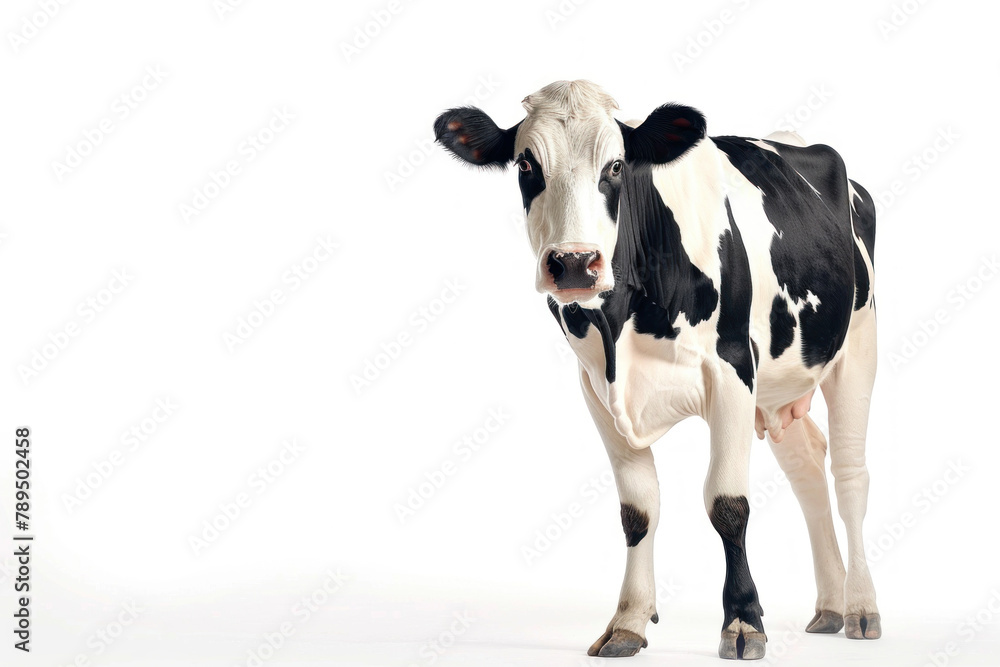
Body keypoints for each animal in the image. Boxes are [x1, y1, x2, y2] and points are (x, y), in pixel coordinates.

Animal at [434, 81, 880, 660]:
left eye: (617, 166)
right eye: (526, 163)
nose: (574, 263)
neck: (621, 320)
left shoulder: (733, 369)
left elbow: (728, 502)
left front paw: (743, 622)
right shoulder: (596, 388)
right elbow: (638, 511)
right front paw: (628, 621)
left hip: (858, 344)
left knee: (849, 476)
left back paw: (861, 607)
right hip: (779, 384)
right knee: (808, 469)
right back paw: (828, 606)